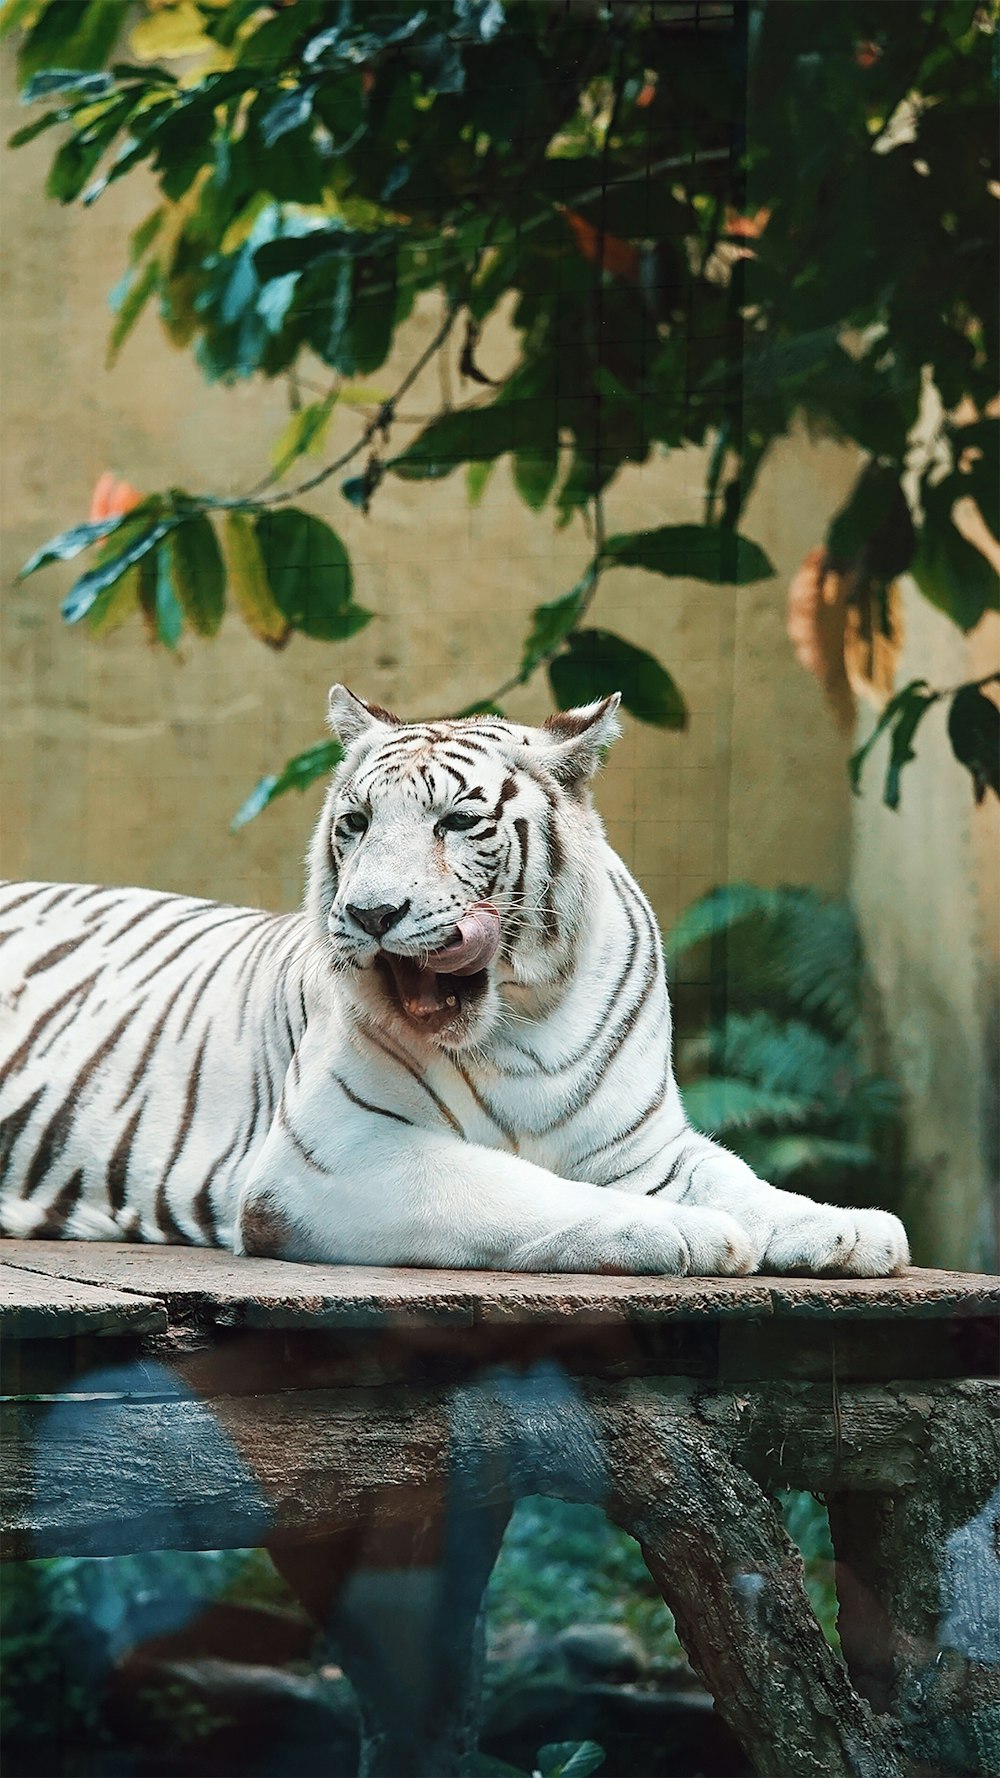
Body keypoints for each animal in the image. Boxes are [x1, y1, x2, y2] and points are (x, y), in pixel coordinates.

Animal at [0, 682, 903, 1280]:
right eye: (356, 823)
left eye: (458, 822)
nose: (370, 913)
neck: (526, 1022)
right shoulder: (336, 1154)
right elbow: (526, 1190)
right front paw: (689, 1233)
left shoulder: (645, 1144)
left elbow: (742, 1179)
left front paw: (848, 1230)